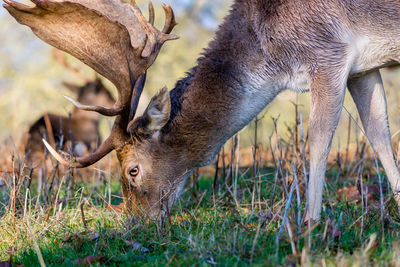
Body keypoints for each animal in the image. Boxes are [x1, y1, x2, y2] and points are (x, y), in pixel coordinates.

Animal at [4, 0, 400, 224]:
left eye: (133, 169)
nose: (134, 222)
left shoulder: (328, 54)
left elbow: (317, 142)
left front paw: (310, 225)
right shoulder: (362, 69)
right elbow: (379, 134)